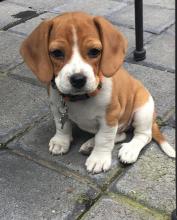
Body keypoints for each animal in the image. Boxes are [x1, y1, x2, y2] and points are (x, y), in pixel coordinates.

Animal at [20, 12, 175, 174]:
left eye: (94, 51)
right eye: (57, 53)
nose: (78, 79)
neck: (80, 99)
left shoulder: (109, 118)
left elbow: (104, 139)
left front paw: (98, 159)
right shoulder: (57, 108)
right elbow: (62, 126)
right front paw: (61, 141)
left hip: (142, 110)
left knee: (143, 135)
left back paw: (129, 150)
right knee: (121, 135)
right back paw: (90, 144)